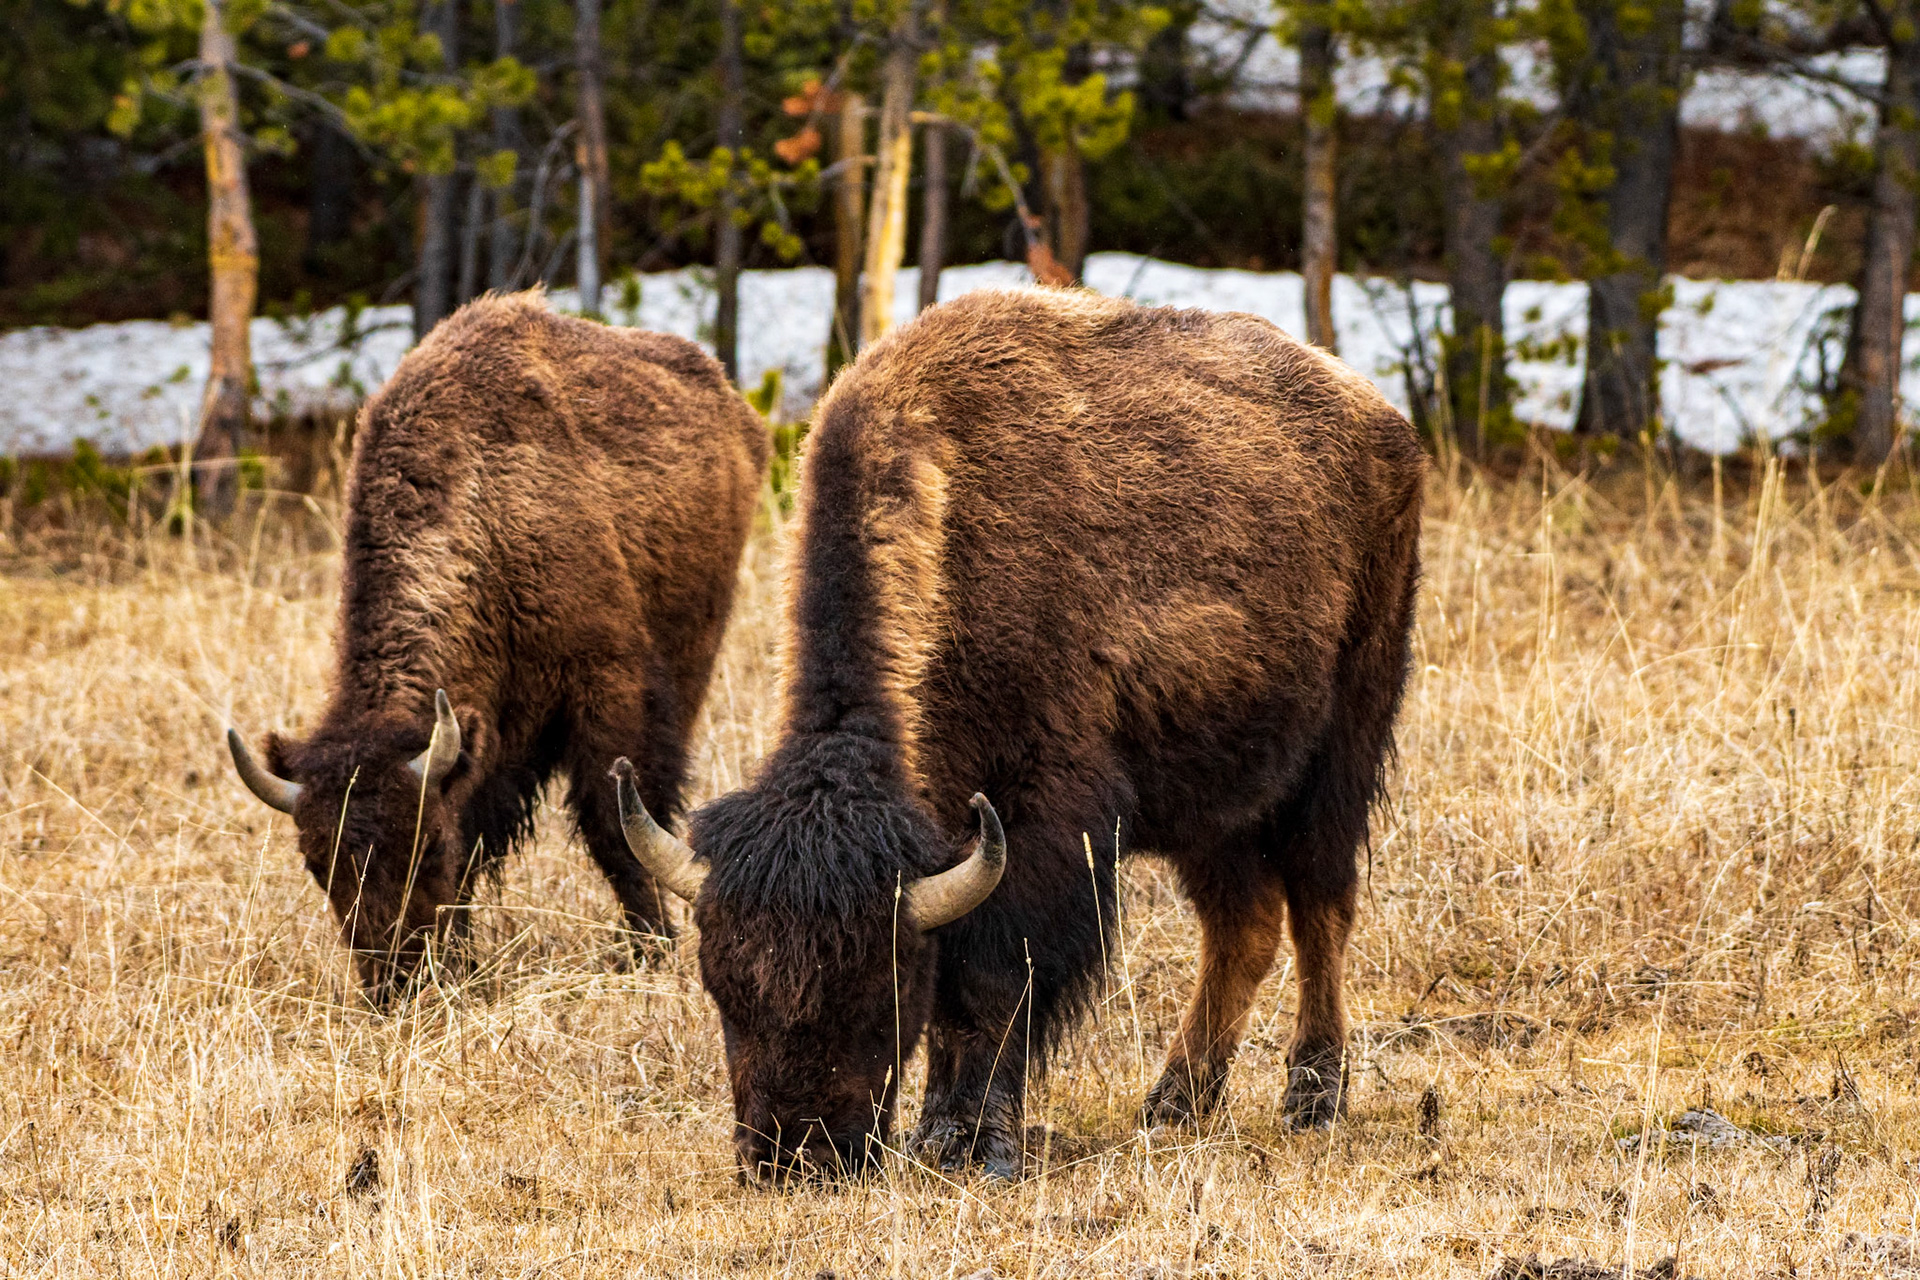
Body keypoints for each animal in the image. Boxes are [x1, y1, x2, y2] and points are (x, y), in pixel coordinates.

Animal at [227, 292, 768, 1000]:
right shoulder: (490, 735)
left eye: (426, 846)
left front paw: (651, 949)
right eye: (319, 865)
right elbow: (484, 832)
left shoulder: (604, 683)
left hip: (694, 651)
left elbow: (614, 822)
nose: (395, 985)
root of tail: (726, 395)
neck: (485, 517)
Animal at [617, 286, 1424, 1180]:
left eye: (877, 985)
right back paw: (1174, 1104)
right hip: (1216, 803)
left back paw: (1312, 1098)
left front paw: (973, 1142)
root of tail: (1384, 421)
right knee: (1241, 928)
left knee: (1322, 907)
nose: (793, 1155)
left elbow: (991, 983)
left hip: (1341, 747)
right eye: (723, 987)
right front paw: (946, 1135)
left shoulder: (1039, 824)